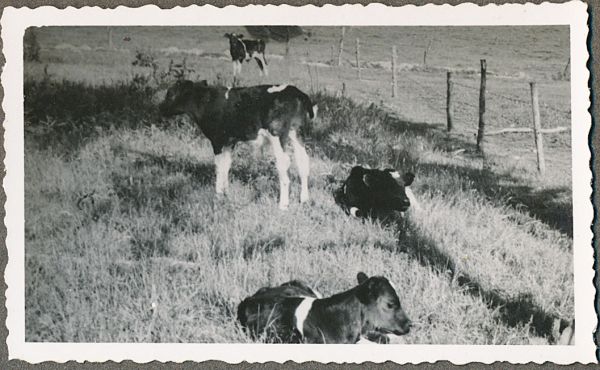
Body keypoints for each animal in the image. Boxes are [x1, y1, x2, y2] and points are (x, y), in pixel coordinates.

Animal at [159, 79, 318, 210]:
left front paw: (218, 194)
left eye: (170, 94)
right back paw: (304, 199)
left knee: (284, 162)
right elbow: (226, 165)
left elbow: (219, 166)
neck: (207, 101)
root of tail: (297, 92)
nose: (160, 108)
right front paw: (226, 192)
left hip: (277, 133)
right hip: (296, 132)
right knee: (303, 161)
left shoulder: (217, 140)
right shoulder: (230, 141)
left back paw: (283, 205)